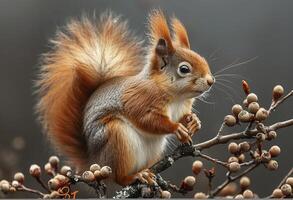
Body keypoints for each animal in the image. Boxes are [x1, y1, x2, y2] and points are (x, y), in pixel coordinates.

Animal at [36, 10, 213, 186]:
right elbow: (146, 119)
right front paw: (176, 128)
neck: (177, 97)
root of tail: (94, 160)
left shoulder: (182, 107)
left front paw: (194, 121)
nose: (211, 81)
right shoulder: (139, 99)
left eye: (203, 60)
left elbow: (183, 117)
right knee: (119, 178)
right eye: (184, 69)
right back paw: (135, 176)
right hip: (117, 138)